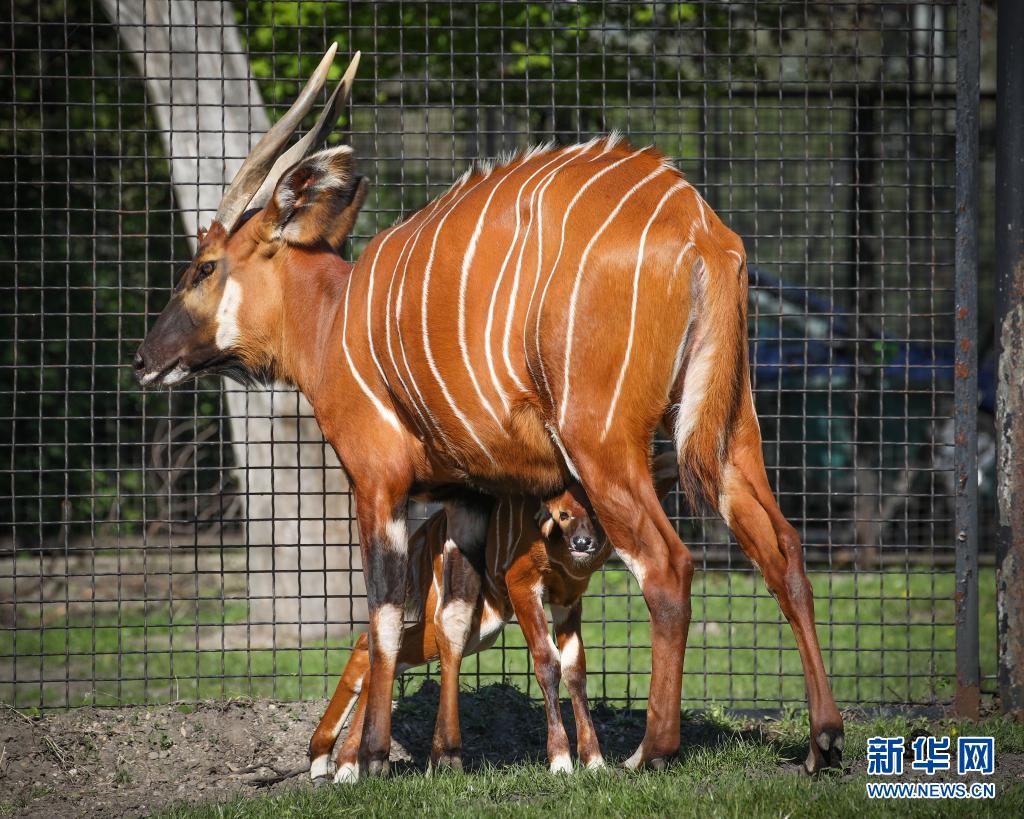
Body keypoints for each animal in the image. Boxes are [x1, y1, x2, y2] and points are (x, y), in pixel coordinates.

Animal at [134, 46, 844, 778]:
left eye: (204, 266)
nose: (143, 359)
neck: (333, 321)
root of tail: (700, 228)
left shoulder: (378, 482)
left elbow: (384, 609)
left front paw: (371, 758)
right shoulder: (468, 493)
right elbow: (452, 617)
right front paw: (447, 753)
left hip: (604, 445)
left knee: (668, 566)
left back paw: (649, 750)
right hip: (728, 433)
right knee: (784, 551)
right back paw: (822, 739)